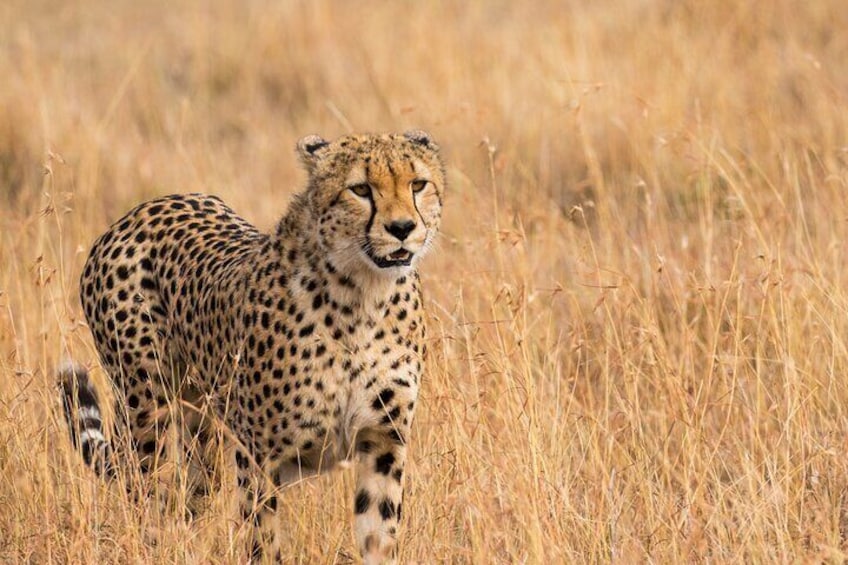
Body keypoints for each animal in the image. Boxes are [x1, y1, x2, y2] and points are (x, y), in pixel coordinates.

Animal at [61, 130, 444, 560]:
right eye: (360, 189)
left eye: (418, 184)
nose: (402, 227)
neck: (363, 295)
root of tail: (143, 209)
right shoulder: (258, 455)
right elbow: (264, 539)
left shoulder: (383, 443)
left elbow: (378, 536)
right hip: (146, 412)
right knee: (146, 495)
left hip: (202, 430)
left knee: (189, 498)